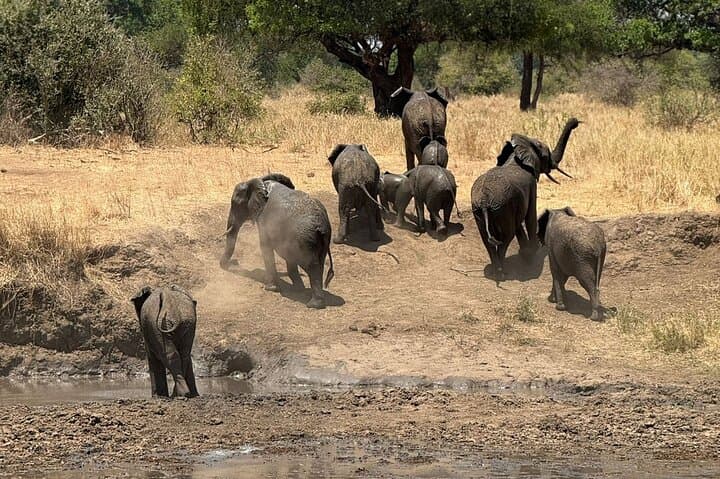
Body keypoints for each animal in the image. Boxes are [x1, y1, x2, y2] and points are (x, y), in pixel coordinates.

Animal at [220, 173, 335, 309]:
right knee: (317, 265)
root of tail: (321, 226)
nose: (234, 262)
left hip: (306, 240)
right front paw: (297, 289)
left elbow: (265, 247)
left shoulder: (264, 219)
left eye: (235, 203)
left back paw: (313, 305)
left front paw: (270, 288)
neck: (261, 182)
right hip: (319, 241)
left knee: (313, 267)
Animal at [470, 118, 580, 281]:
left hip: (480, 210)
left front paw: (526, 252)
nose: (576, 122)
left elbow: (520, 222)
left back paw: (496, 273)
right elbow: (530, 215)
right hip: (501, 207)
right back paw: (502, 274)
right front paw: (533, 251)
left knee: (487, 241)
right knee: (505, 238)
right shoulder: (531, 184)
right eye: (546, 155)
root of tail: (484, 200)